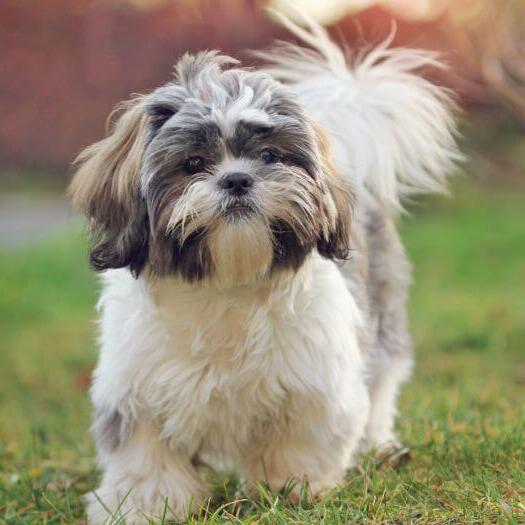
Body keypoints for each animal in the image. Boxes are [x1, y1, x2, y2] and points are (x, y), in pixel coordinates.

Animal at [70, 9, 458, 524]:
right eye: (193, 163)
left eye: (270, 156)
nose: (237, 179)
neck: (227, 282)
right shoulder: (136, 388)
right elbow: (146, 455)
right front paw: (144, 504)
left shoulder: (315, 383)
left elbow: (299, 442)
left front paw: (291, 489)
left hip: (383, 318)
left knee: (381, 387)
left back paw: (378, 447)